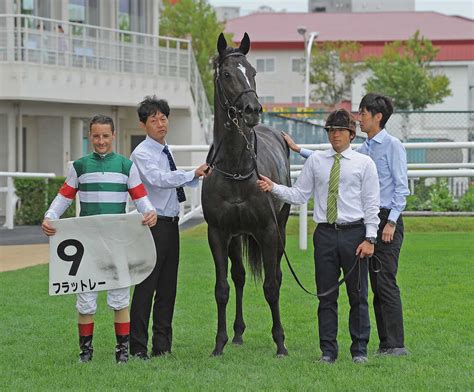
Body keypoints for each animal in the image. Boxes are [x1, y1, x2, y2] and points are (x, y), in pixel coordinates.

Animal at [201, 34, 290, 358]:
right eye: (227, 74)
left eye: (252, 71)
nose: (252, 109)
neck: (236, 169)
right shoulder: (218, 233)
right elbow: (223, 288)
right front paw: (219, 343)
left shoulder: (267, 230)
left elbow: (271, 286)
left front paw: (280, 343)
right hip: (237, 235)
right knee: (238, 276)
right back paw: (238, 334)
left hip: (280, 228)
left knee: (276, 275)